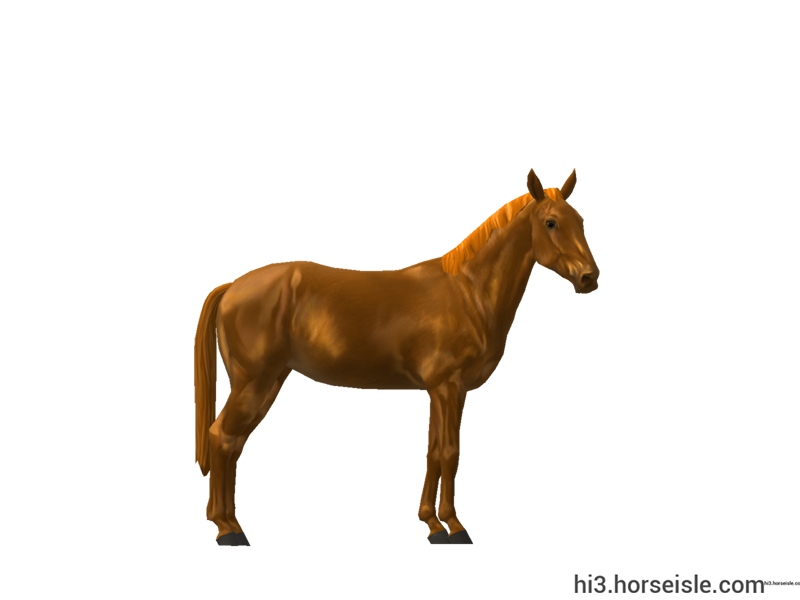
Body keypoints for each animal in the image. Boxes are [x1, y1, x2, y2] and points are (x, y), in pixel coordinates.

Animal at [194, 171, 599, 537]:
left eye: (578, 220)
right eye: (551, 222)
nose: (589, 277)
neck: (470, 294)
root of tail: (233, 287)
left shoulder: (441, 389)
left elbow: (434, 451)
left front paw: (429, 519)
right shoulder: (445, 385)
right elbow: (449, 450)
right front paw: (451, 522)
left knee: (230, 441)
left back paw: (227, 519)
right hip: (251, 383)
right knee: (220, 437)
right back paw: (222, 523)